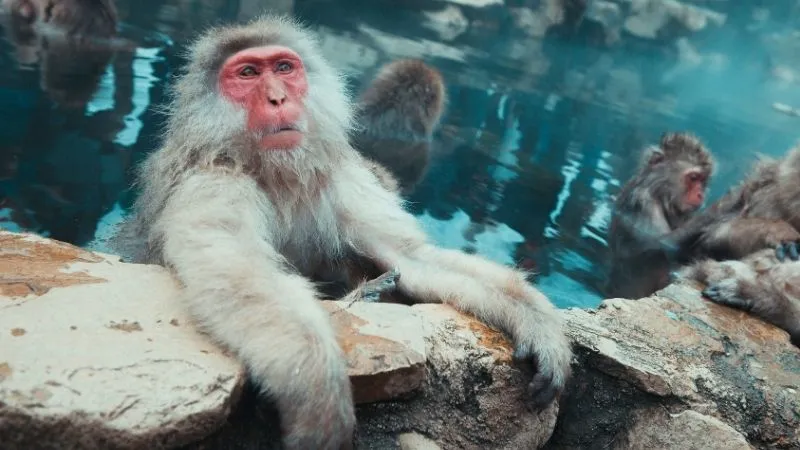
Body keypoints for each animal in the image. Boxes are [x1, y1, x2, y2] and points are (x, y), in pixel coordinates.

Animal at [605, 131, 715, 299]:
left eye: (703, 181)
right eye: (694, 177)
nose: (700, 194)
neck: (660, 192)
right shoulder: (644, 203)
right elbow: (662, 244)